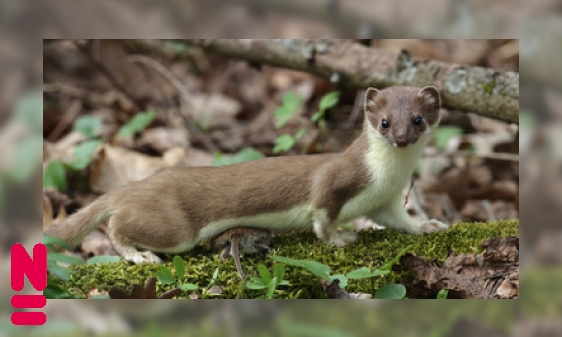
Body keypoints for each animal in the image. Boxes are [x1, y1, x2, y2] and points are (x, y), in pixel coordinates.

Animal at [44, 84, 446, 262]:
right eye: (384, 121)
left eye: (417, 119)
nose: (401, 137)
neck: (388, 176)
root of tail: (135, 187)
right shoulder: (337, 179)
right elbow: (323, 211)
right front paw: (340, 237)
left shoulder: (386, 200)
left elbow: (399, 220)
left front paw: (428, 225)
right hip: (175, 229)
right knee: (118, 225)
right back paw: (137, 255)